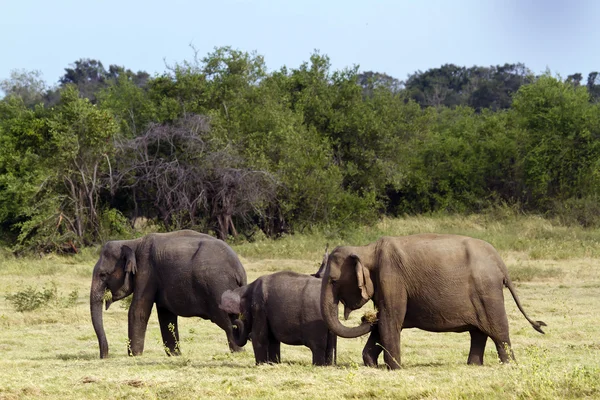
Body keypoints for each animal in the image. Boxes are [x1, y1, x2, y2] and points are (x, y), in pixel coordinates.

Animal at [89, 230, 248, 358]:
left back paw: (239, 352)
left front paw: (134, 355)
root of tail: (239, 270)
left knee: (228, 322)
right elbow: (166, 316)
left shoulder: (146, 271)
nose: (104, 357)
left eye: (103, 275)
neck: (133, 242)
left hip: (218, 288)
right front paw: (174, 355)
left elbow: (138, 310)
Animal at [322, 234, 548, 368]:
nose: (366, 317)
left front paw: (395, 368)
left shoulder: (391, 278)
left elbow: (389, 320)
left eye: (333, 280)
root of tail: (500, 263)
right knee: (478, 332)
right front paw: (372, 365)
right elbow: (384, 322)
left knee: (498, 332)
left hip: (487, 291)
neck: (367, 249)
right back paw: (473, 365)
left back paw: (509, 365)